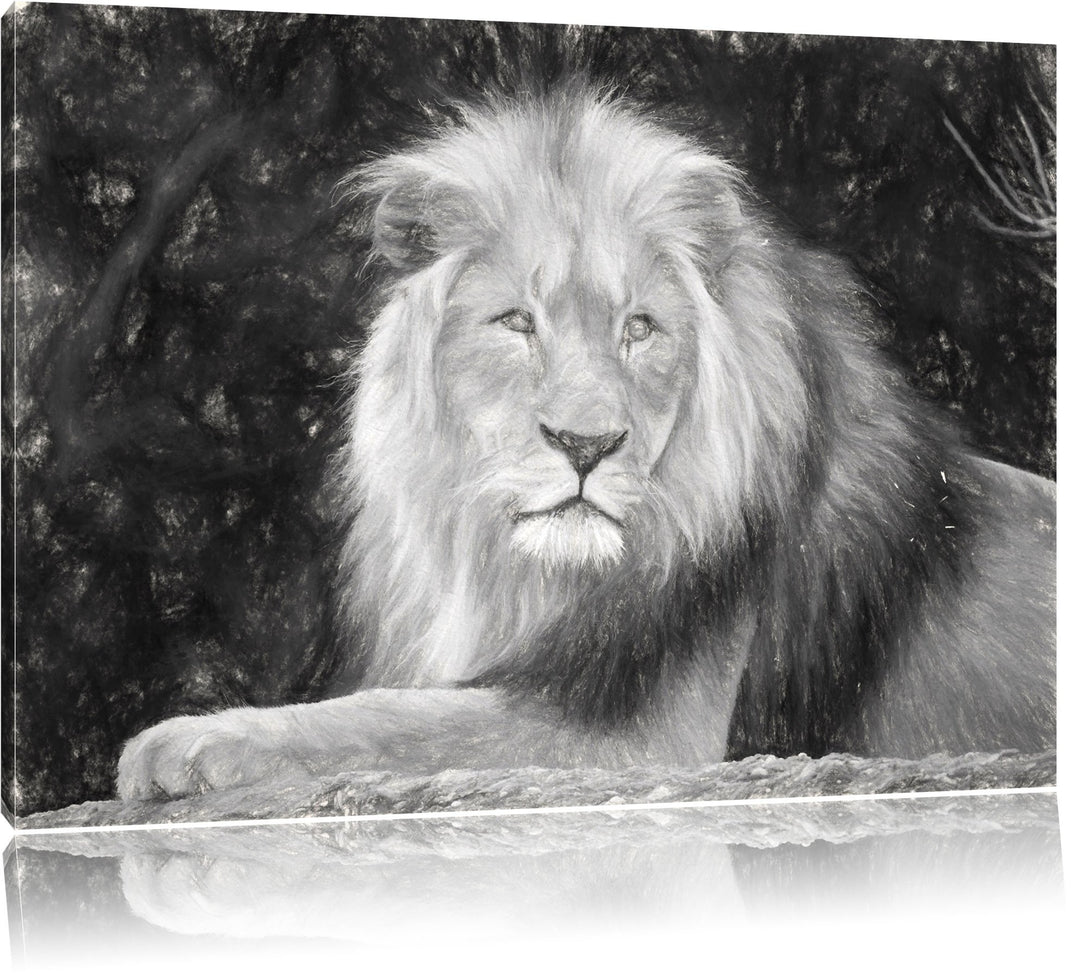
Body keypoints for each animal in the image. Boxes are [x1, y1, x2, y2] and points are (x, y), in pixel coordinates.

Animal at [117, 84, 1055, 802]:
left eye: (640, 327)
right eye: (515, 322)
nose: (586, 444)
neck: (524, 575)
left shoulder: (641, 740)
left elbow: (390, 717)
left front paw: (188, 741)